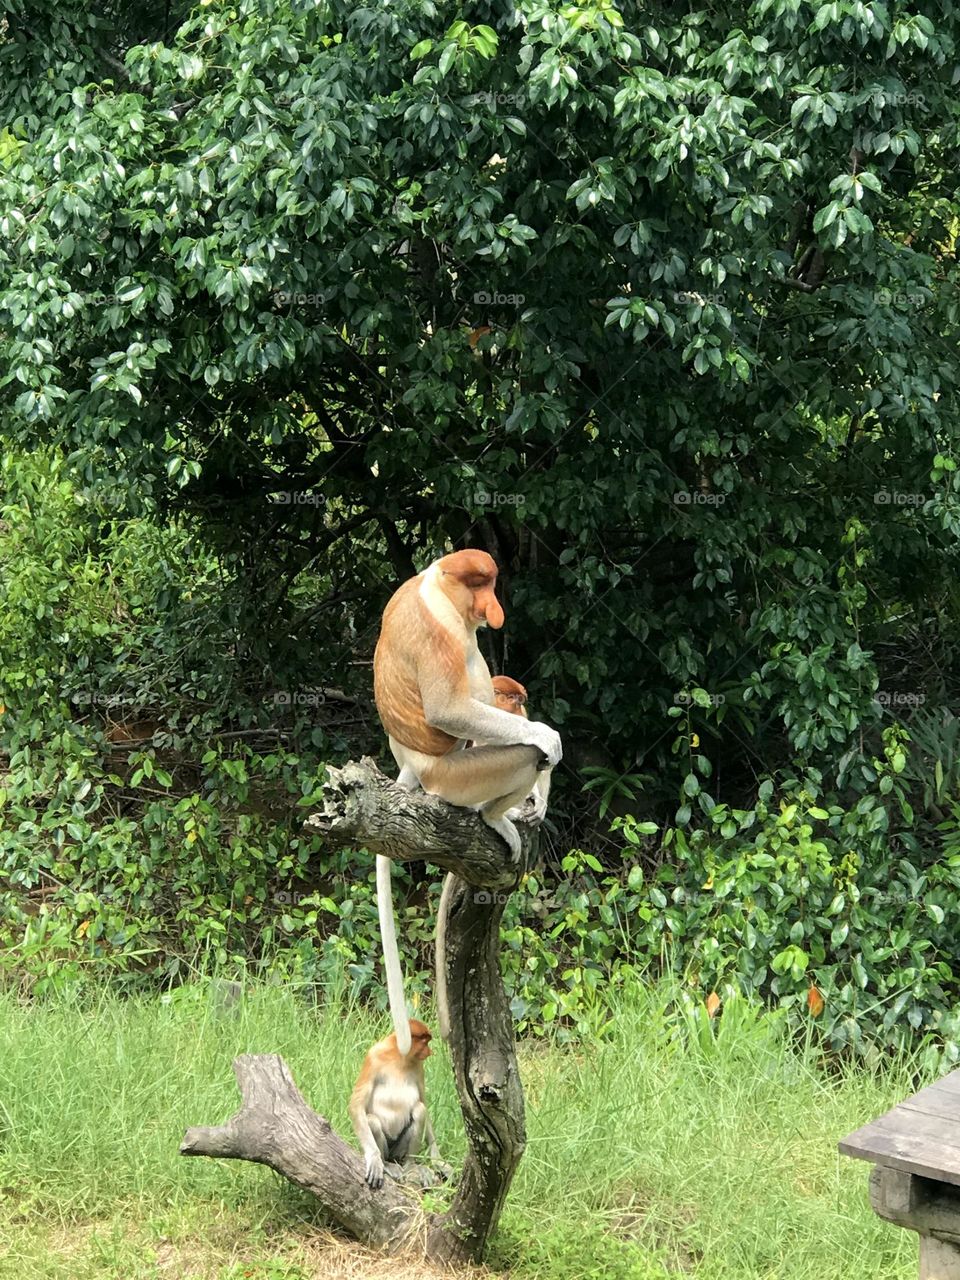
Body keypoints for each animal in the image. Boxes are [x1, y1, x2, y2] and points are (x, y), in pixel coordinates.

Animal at [349, 1018, 443, 1189]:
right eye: (424, 1041)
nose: (429, 1052)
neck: (399, 1056)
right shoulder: (373, 1057)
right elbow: (357, 1104)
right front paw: (374, 1159)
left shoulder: (418, 1067)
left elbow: (423, 1101)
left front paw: (438, 1161)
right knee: (372, 1121)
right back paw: (385, 1164)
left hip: (399, 1150)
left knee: (420, 1110)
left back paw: (410, 1165)